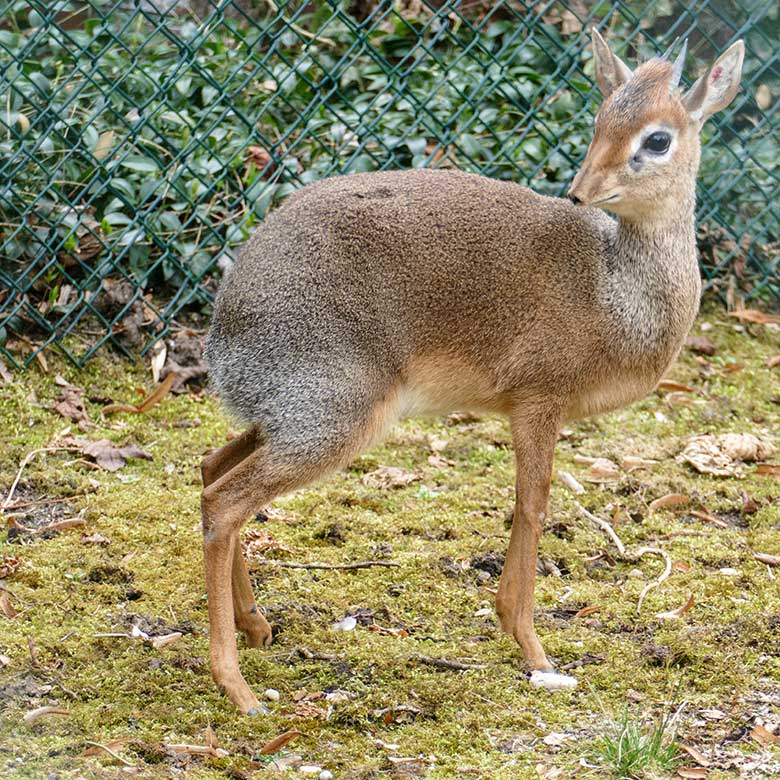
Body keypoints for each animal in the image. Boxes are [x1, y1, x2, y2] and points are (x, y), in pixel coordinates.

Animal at [200, 30, 744, 712]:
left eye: (657, 138)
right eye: (600, 120)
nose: (581, 190)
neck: (615, 288)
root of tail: (223, 327)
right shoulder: (539, 400)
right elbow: (533, 504)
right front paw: (532, 646)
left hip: (287, 414)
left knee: (210, 470)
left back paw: (256, 624)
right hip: (331, 416)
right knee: (224, 501)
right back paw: (237, 687)